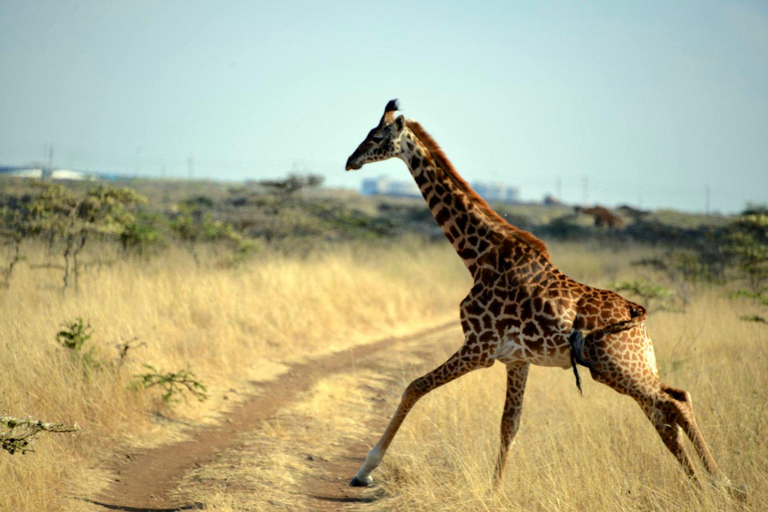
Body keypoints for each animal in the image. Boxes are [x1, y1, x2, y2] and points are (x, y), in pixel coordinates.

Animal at [344, 99, 728, 492]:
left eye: (376, 136)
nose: (350, 161)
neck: (479, 257)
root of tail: (638, 314)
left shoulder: (479, 347)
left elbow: (414, 387)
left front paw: (365, 471)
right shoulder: (516, 359)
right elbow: (509, 424)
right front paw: (494, 490)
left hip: (619, 366)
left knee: (674, 403)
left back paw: (722, 481)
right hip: (631, 365)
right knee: (667, 411)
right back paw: (702, 486)